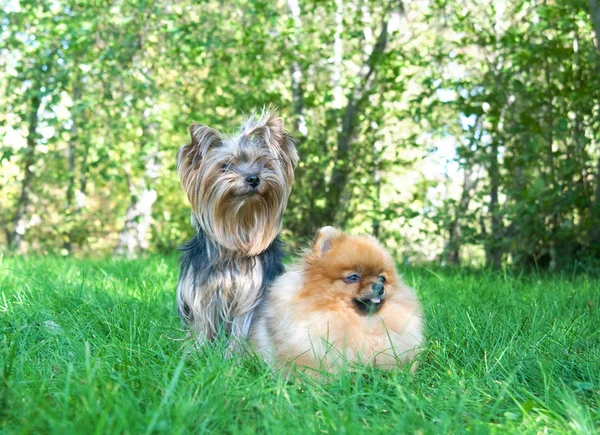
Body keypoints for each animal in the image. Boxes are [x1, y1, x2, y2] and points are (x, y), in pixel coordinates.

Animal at [177, 108, 298, 350]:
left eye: (264, 164)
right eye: (225, 166)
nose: (253, 178)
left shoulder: (252, 291)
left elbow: (243, 325)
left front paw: (233, 355)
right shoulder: (201, 290)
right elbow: (202, 321)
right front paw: (196, 350)